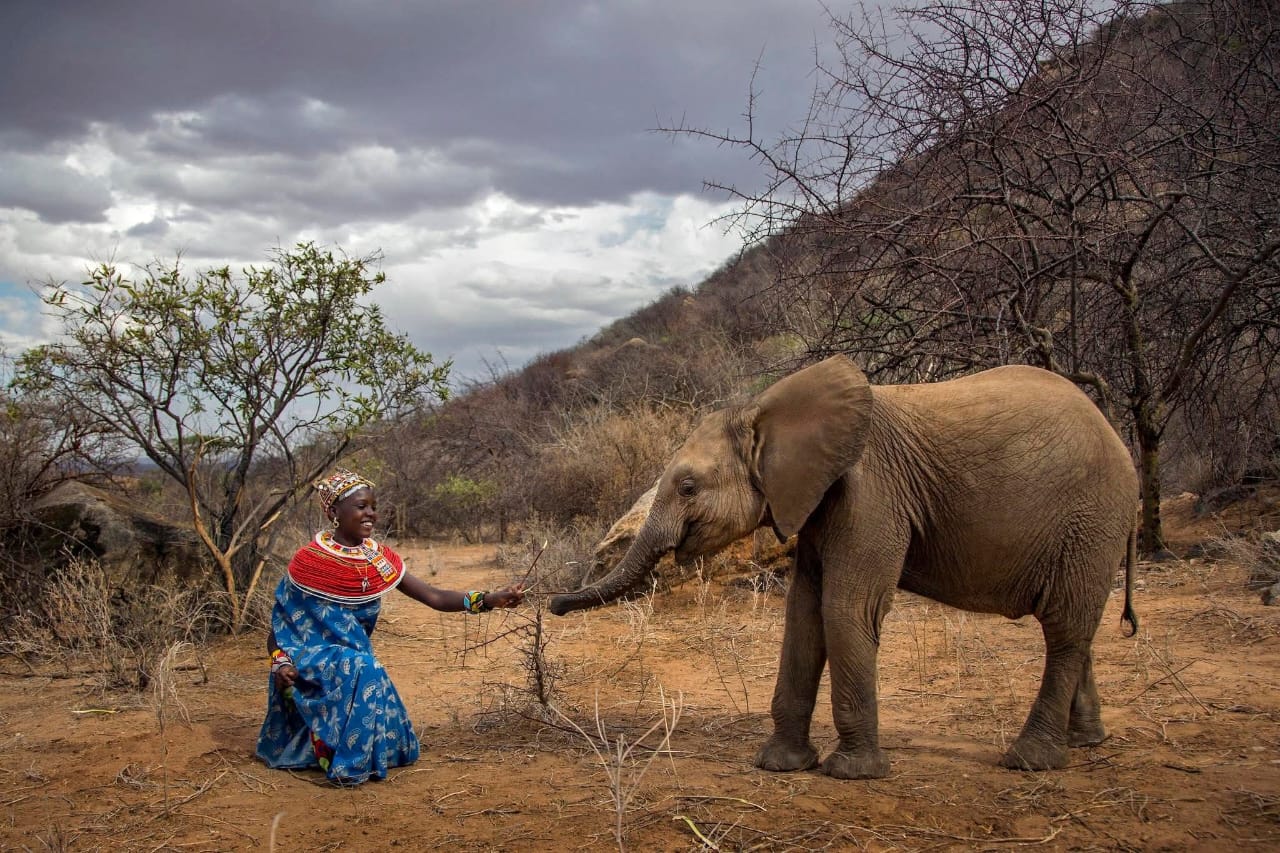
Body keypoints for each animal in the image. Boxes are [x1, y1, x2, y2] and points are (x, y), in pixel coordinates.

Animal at [550, 355, 1138, 779]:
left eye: (689, 487)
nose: (552, 603)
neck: (766, 411)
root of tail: (1118, 438)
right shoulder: (814, 500)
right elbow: (803, 615)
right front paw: (780, 766)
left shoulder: (871, 491)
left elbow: (845, 608)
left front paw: (852, 773)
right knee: (1073, 625)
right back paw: (1086, 741)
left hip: (1092, 517)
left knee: (1064, 627)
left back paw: (1030, 761)